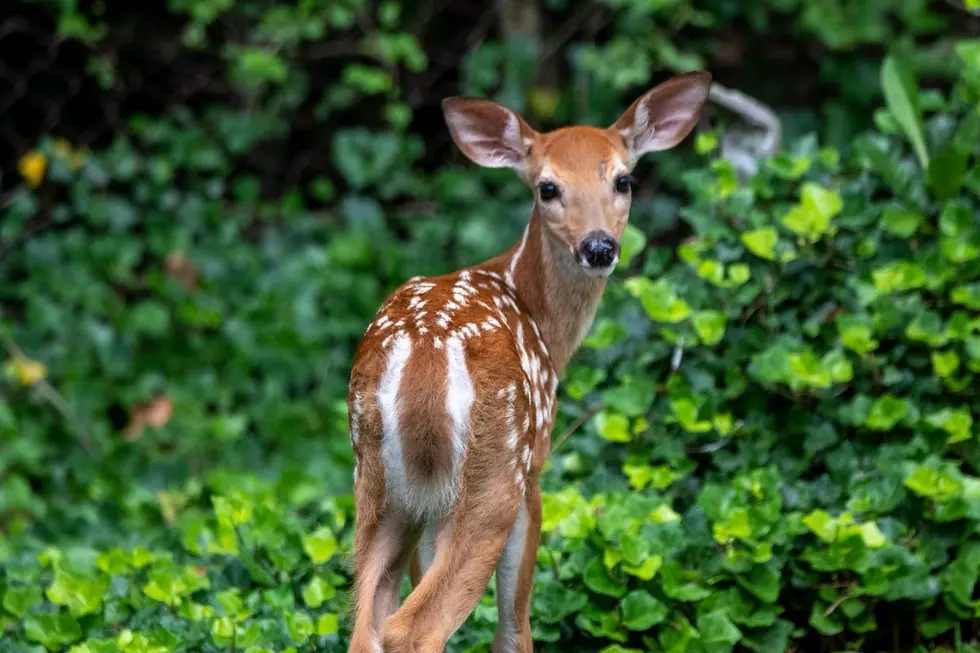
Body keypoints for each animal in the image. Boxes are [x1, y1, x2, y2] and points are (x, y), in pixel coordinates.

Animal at [346, 71, 712, 652]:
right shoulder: (535, 465)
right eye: (548, 188)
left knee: (369, 622)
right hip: (496, 467)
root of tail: (424, 355)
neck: (541, 320)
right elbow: (515, 620)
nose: (599, 246)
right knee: (415, 626)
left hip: (378, 484)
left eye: (624, 180)